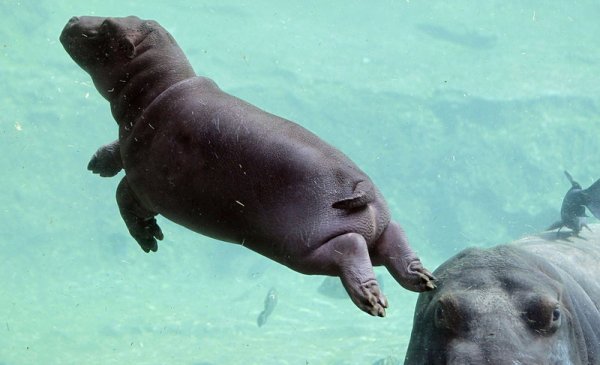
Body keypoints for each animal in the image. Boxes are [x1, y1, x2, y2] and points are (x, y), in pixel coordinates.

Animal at [58, 15, 434, 316]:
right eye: (122, 17)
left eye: (105, 28)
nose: (73, 18)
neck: (155, 82)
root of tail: (361, 185)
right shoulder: (130, 141)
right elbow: (117, 153)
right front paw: (98, 162)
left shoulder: (144, 181)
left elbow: (123, 196)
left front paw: (150, 240)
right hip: (376, 225)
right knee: (394, 239)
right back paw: (422, 279)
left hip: (303, 247)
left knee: (351, 246)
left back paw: (371, 300)